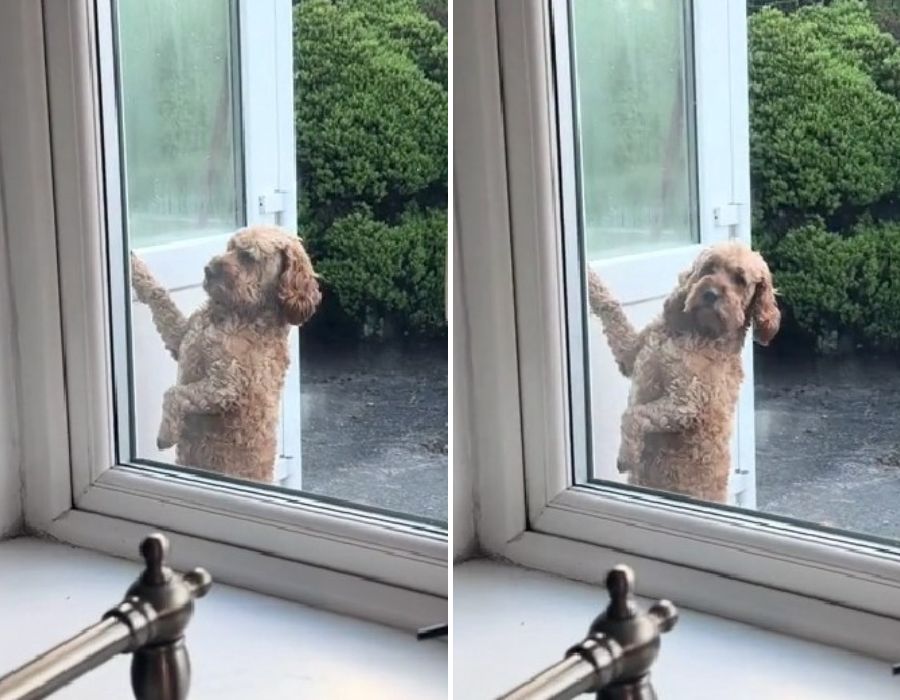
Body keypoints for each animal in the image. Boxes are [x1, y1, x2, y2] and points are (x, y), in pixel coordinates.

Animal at [130, 224, 320, 482]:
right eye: (230, 247)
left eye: (248, 256)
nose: (208, 270)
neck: (235, 314)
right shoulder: (181, 339)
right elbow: (159, 296)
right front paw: (133, 264)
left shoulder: (226, 386)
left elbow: (174, 393)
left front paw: (166, 434)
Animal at [592, 242, 780, 504]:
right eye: (709, 267)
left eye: (740, 280)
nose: (711, 294)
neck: (696, 331)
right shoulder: (630, 354)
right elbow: (612, 309)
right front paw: (587, 275)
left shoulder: (686, 402)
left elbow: (634, 414)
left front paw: (627, 455)